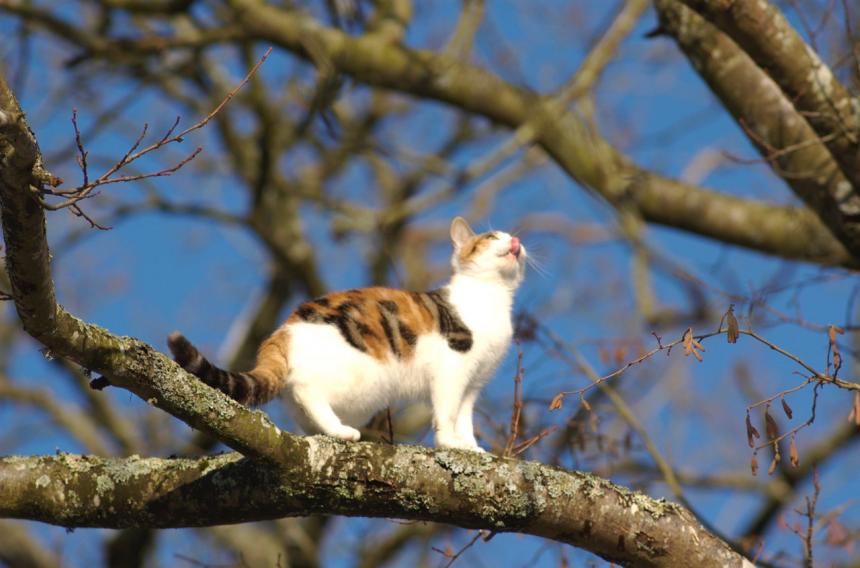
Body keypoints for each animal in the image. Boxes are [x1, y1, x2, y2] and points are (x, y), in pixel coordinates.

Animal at [170, 215, 524, 450]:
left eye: (509, 237)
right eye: (492, 237)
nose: (515, 241)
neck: (493, 296)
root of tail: (281, 331)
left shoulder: (474, 382)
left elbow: (464, 416)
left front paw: (471, 447)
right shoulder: (453, 366)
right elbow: (447, 411)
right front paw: (450, 443)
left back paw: (334, 432)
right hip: (360, 375)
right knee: (308, 392)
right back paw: (343, 433)